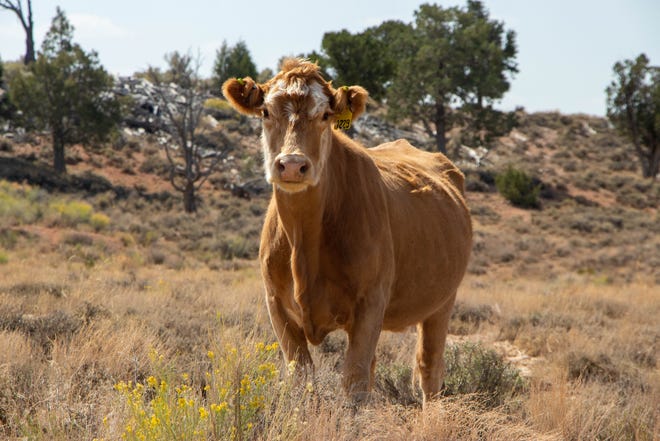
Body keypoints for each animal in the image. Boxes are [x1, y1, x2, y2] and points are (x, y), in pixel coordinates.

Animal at [224, 59, 472, 406]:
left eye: (325, 115)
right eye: (265, 112)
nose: (292, 165)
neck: (304, 241)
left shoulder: (370, 303)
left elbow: (354, 383)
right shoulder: (276, 304)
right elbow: (302, 378)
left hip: (443, 301)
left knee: (429, 369)